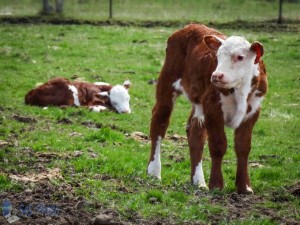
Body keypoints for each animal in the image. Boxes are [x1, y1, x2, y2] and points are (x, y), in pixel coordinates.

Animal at [148, 24, 268, 193]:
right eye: (218, 56)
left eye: (240, 57)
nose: (216, 76)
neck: (240, 90)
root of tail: (190, 26)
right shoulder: (212, 108)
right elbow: (218, 146)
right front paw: (216, 185)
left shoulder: (253, 111)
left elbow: (243, 147)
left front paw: (244, 187)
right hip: (167, 82)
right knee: (159, 122)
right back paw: (154, 172)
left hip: (198, 102)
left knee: (195, 133)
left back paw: (198, 181)